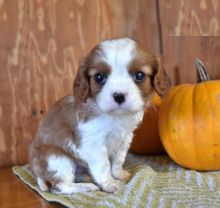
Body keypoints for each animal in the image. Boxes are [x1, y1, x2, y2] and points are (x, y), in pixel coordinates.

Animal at [28, 37, 170, 193]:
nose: (119, 96)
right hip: (58, 159)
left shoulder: (125, 137)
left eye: (139, 75)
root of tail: (36, 171)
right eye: (99, 77)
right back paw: (85, 186)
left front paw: (118, 173)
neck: (116, 116)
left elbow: (119, 158)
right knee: (60, 186)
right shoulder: (94, 143)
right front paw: (109, 183)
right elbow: (103, 165)